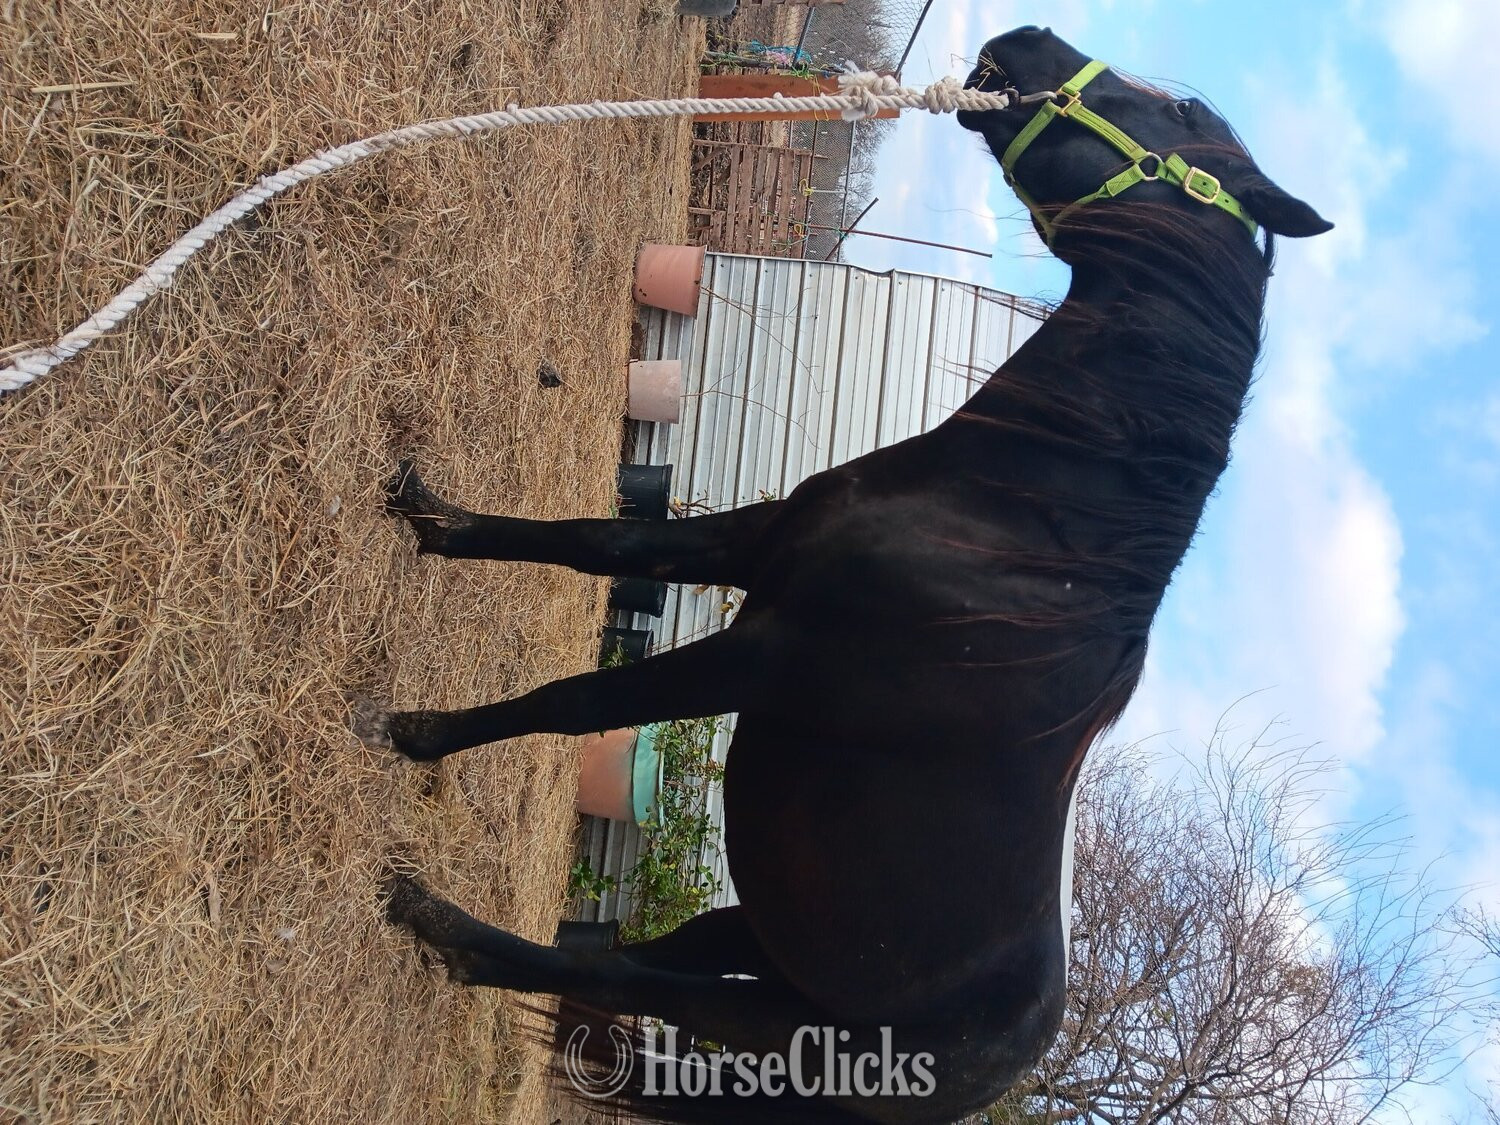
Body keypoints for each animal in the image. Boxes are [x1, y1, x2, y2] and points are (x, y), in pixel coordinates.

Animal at [359, 25, 1332, 1123]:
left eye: (1182, 118)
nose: (1026, 40)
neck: (1018, 537)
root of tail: (1005, 1062)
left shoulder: (763, 655)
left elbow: (578, 701)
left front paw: (417, 735)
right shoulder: (751, 546)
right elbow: (599, 544)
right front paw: (431, 518)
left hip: (772, 1014)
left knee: (617, 974)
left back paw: (439, 924)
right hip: (765, 931)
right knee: (639, 954)